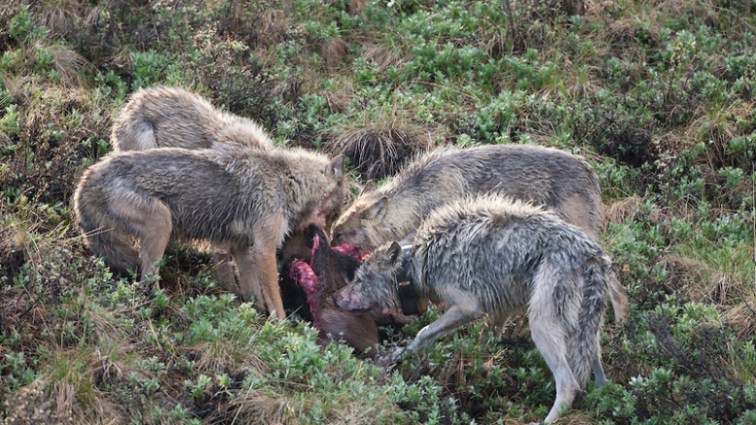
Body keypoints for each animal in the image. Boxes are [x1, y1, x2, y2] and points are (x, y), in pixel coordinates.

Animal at [73, 144, 344, 318]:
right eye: (333, 215)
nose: (330, 241)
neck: (287, 180)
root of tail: (87, 176)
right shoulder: (264, 250)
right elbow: (275, 300)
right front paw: (282, 330)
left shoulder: (243, 249)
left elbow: (253, 292)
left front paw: (254, 317)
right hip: (162, 222)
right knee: (148, 279)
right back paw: (165, 306)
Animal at [334, 195, 612, 423]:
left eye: (360, 279)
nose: (335, 297)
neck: (419, 261)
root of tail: (593, 257)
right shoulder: (501, 308)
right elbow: (485, 340)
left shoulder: (468, 307)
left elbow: (424, 332)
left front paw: (401, 354)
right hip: (585, 334)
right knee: (598, 375)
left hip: (542, 326)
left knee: (569, 384)